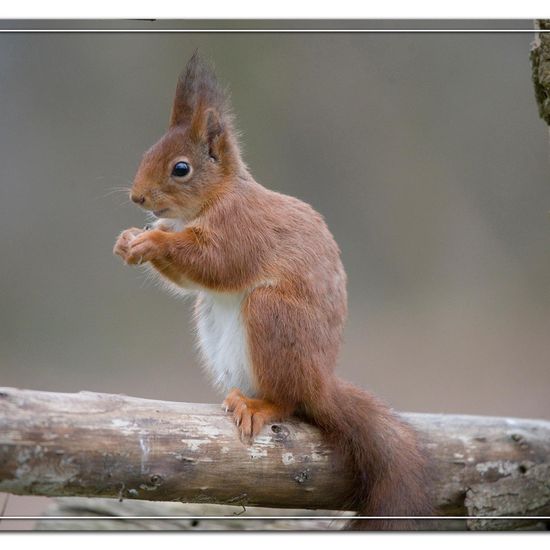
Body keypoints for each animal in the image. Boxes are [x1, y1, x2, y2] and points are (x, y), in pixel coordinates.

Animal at [114, 54, 436, 532]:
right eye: (146, 154)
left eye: (180, 168)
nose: (138, 198)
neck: (215, 199)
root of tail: (320, 382)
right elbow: (190, 279)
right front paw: (128, 240)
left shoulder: (240, 231)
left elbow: (215, 263)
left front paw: (151, 241)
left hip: (272, 317)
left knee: (287, 402)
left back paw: (260, 407)